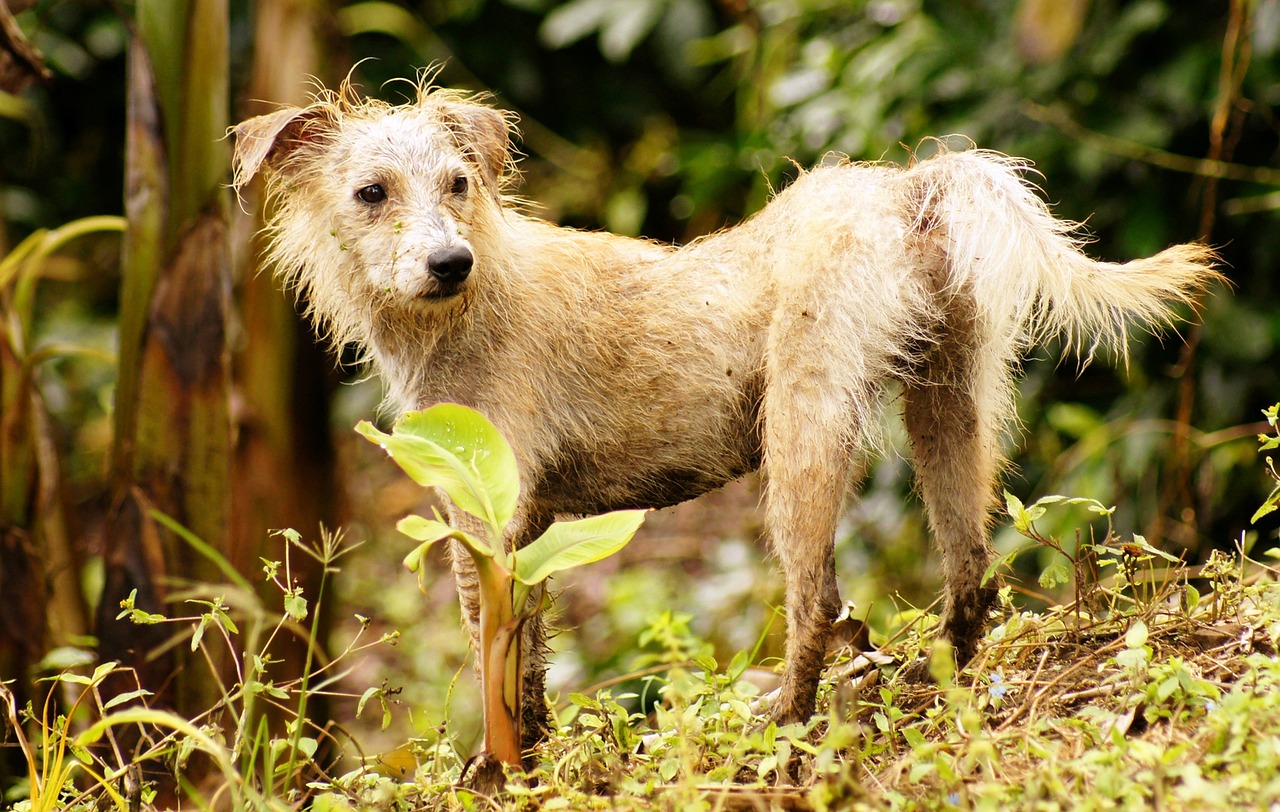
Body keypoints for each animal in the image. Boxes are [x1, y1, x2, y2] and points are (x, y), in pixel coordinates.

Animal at [232, 79, 1218, 742]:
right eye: (371, 193)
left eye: (458, 184)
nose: (449, 263)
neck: (467, 310)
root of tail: (906, 186)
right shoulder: (527, 526)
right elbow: (529, 652)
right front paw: (532, 751)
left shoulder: (490, 524)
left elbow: (492, 654)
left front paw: (494, 770)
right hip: (950, 404)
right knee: (971, 575)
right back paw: (941, 685)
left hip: (804, 431)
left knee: (819, 599)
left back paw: (787, 717)